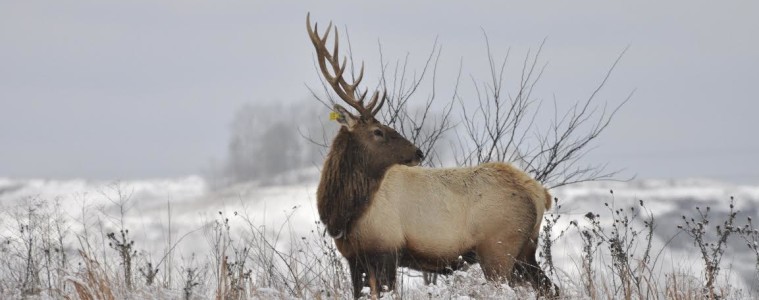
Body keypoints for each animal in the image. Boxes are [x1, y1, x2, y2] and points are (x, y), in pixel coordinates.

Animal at [308, 13, 560, 298]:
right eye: (377, 131)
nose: (418, 151)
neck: (345, 214)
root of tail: (540, 194)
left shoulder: (387, 249)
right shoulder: (355, 257)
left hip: (499, 248)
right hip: (525, 251)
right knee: (551, 288)